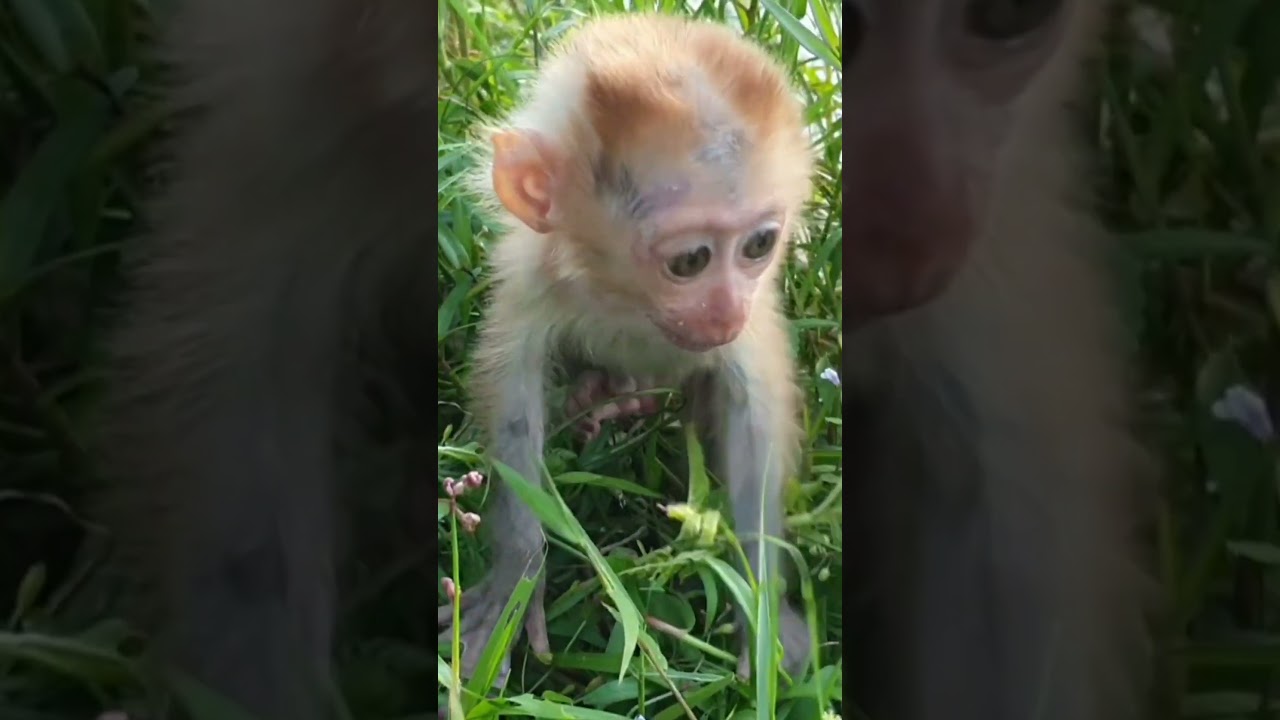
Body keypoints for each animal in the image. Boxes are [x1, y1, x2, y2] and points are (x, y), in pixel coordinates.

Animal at [438, 14, 819, 684]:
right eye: (690, 260)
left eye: (759, 245)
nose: (726, 310)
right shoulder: (535, 274)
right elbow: (511, 390)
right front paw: (516, 578)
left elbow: (755, 409)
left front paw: (762, 602)